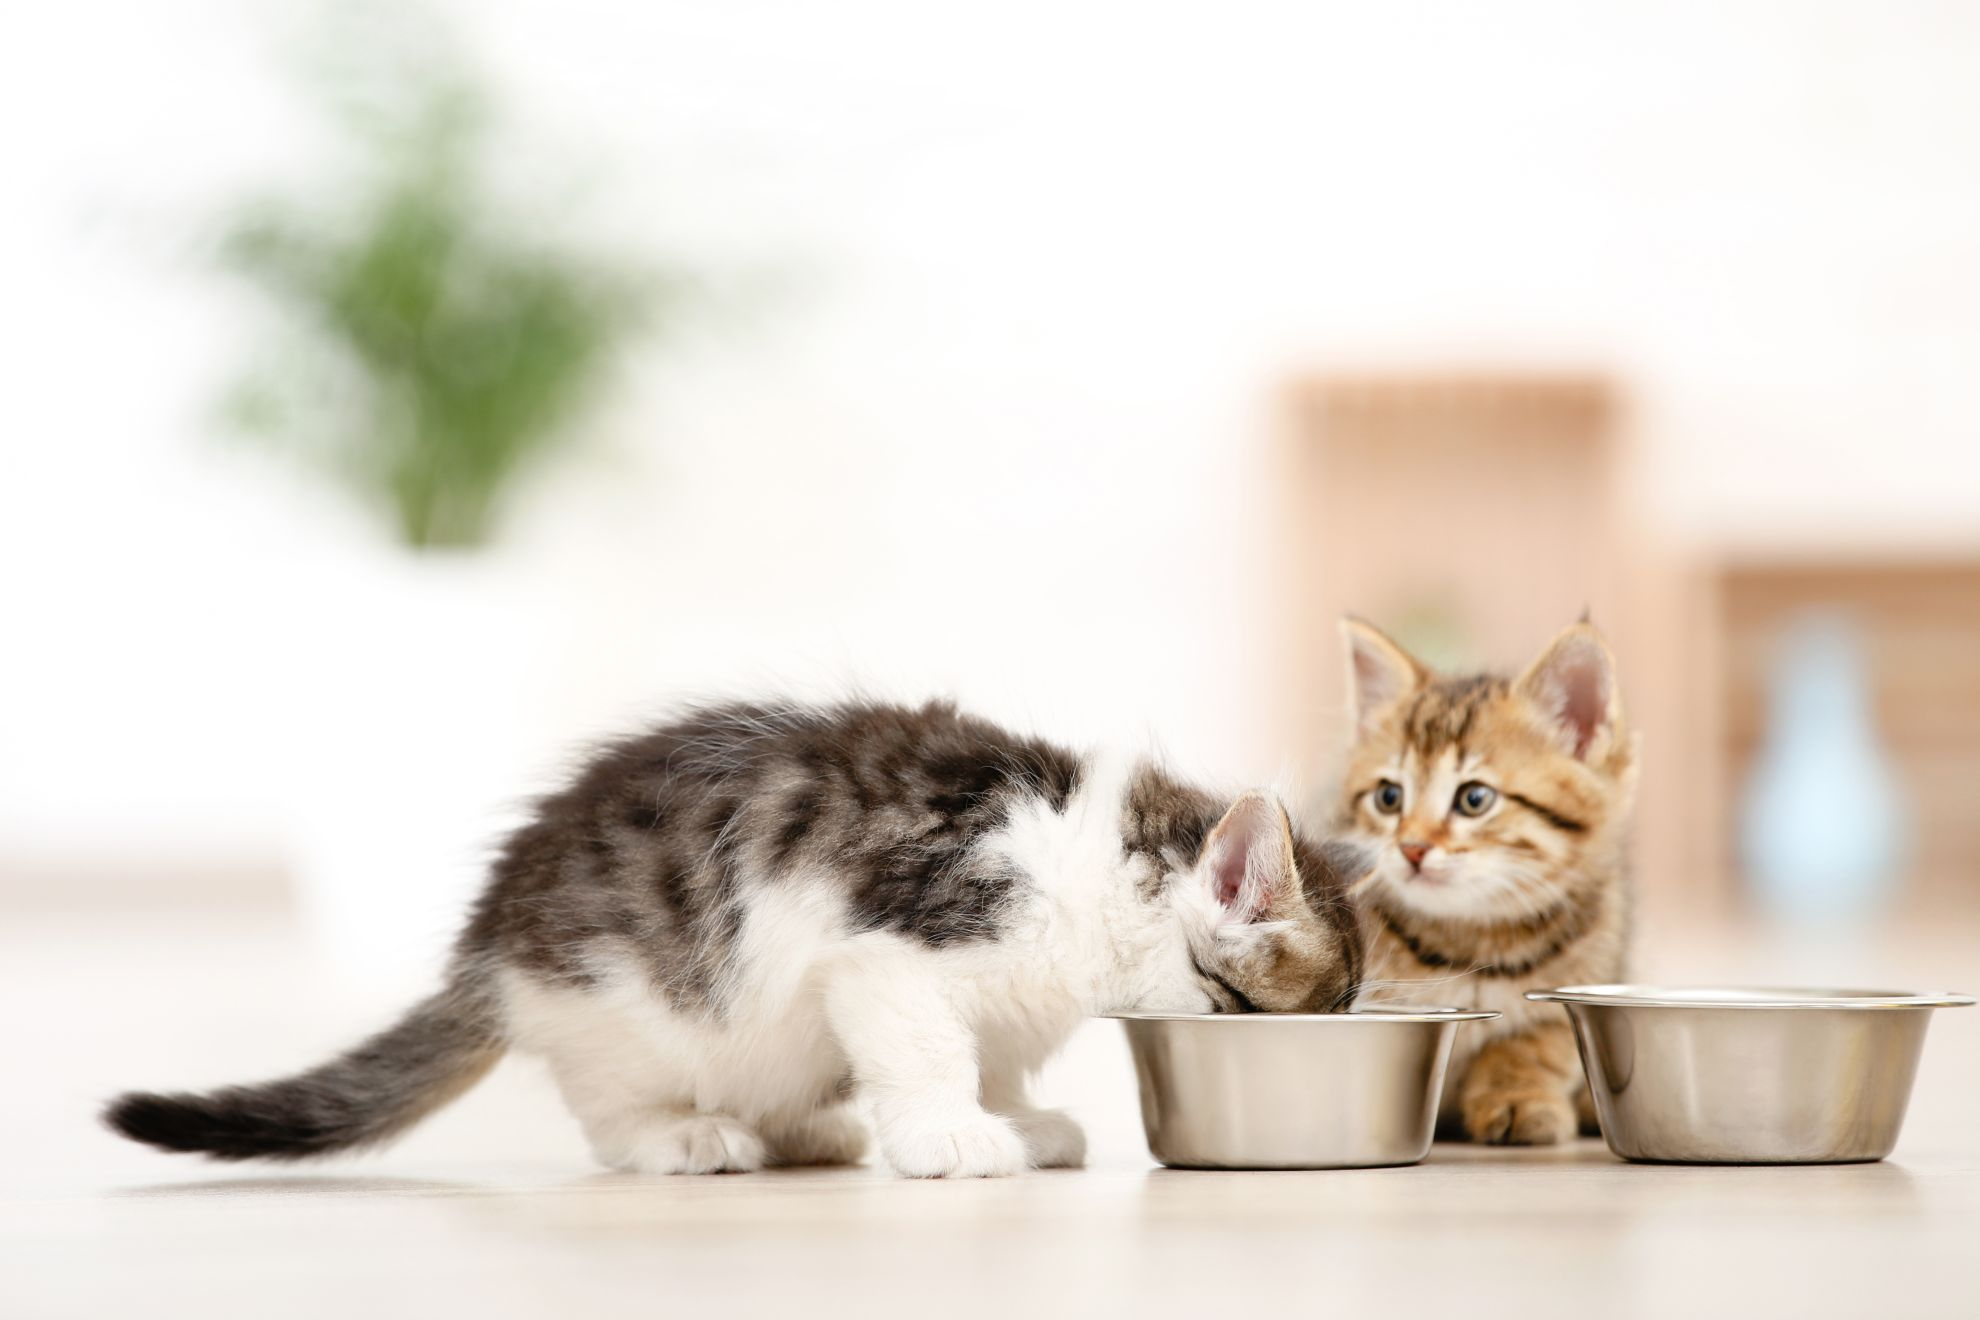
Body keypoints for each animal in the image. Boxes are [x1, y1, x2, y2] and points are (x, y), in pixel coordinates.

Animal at [108, 700, 1370, 1179]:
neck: (1104, 866)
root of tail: (491, 945)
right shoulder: (890, 953)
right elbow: (933, 1050)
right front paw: (955, 1135)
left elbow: (1001, 1053)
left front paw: (1019, 1116)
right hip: (626, 1009)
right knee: (612, 1113)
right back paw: (688, 1138)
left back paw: (811, 1125)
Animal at [1330, 621, 1639, 1147]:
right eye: (1389, 797)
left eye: (1474, 799)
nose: (1411, 847)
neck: (1469, 939)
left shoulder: (1590, 962)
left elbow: (1533, 1044)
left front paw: (1519, 1099)